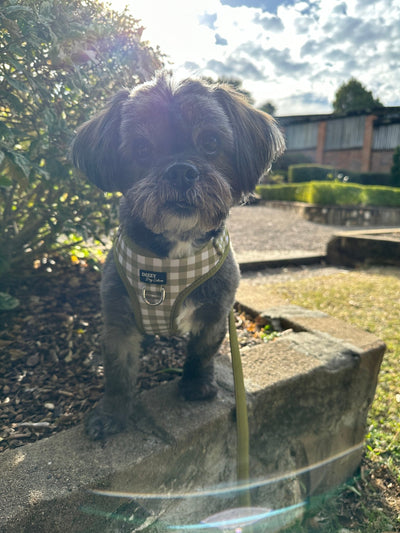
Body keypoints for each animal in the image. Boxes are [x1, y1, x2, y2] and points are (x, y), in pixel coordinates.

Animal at [72, 72, 284, 438]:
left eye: (210, 142)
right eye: (142, 149)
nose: (180, 171)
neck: (173, 255)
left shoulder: (215, 315)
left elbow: (201, 353)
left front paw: (196, 386)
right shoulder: (118, 321)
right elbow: (118, 371)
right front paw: (112, 413)